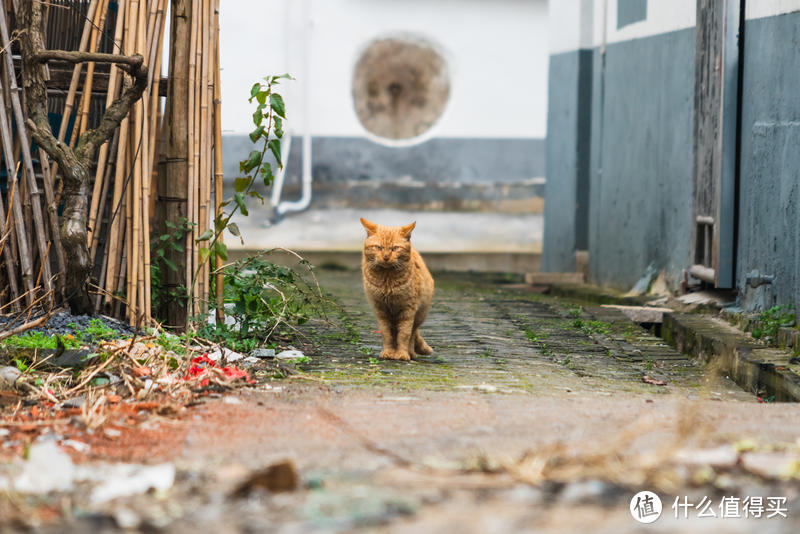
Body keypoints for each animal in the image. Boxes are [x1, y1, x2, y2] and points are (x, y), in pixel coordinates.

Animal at [362, 219, 434, 364]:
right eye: (378, 247)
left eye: (395, 248)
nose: (386, 256)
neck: (387, 280)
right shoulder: (381, 311)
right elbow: (387, 334)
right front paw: (388, 352)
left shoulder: (408, 310)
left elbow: (404, 335)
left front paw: (402, 354)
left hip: (419, 315)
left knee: (412, 334)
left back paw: (411, 353)